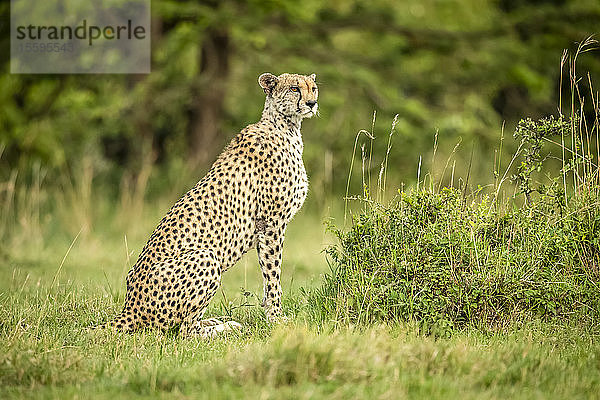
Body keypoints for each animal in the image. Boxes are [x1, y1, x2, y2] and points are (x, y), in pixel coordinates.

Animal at [103, 72, 318, 338]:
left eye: (313, 88)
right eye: (294, 89)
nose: (312, 103)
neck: (286, 126)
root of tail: (129, 307)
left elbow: (269, 275)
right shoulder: (271, 224)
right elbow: (273, 276)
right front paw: (277, 319)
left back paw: (218, 322)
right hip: (207, 256)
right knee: (184, 331)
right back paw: (226, 329)